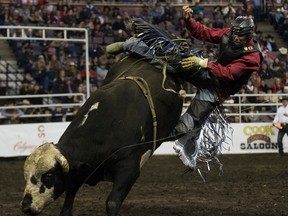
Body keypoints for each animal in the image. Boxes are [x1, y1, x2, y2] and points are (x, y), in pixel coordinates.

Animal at [21, 56, 186, 216]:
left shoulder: (130, 168)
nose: (25, 206)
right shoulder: (79, 171)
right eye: (26, 176)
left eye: (48, 175)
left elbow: (112, 203)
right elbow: (67, 205)